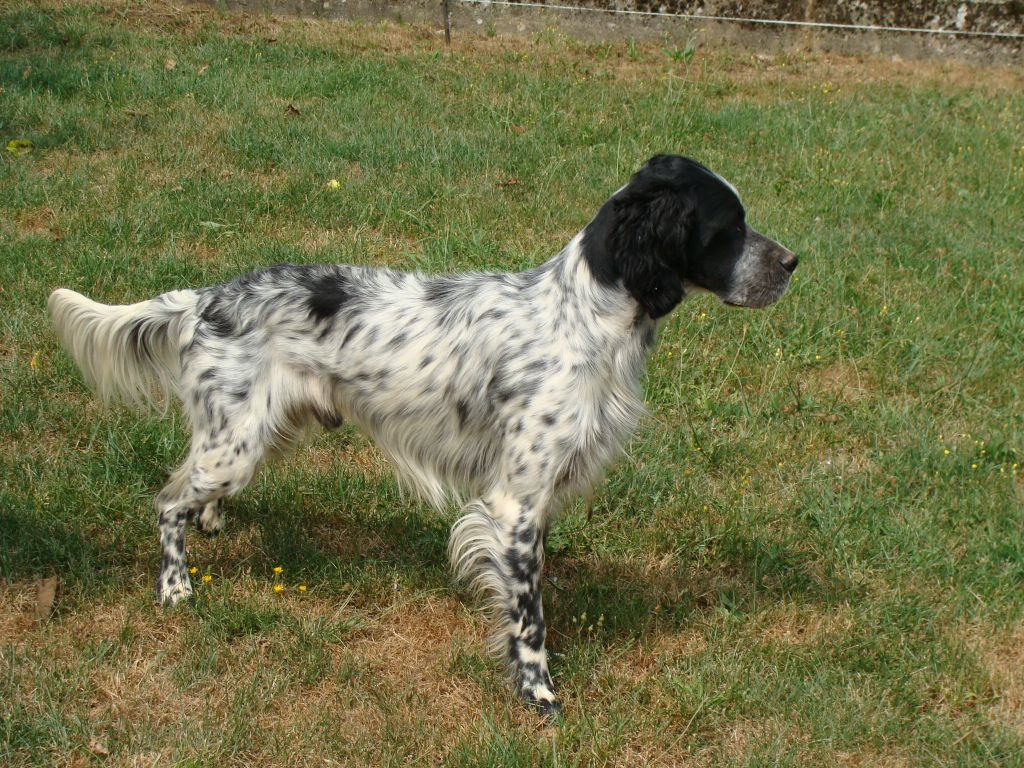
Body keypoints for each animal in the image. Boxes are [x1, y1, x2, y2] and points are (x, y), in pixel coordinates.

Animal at [49, 154, 798, 716]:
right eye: (729, 227)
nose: (793, 261)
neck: (584, 313)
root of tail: (207, 298)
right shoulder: (516, 504)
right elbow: (529, 617)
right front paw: (540, 695)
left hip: (254, 435)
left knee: (192, 495)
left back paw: (213, 524)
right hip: (234, 445)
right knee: (166, 501)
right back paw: (176, 588)